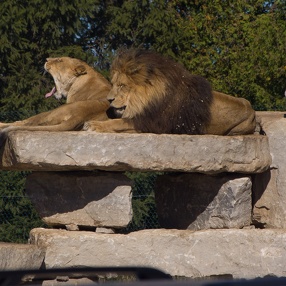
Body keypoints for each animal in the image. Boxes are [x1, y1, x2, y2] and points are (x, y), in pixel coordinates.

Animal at [84, 48, 256, 136]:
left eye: (122, 86)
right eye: (113, 84)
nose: (109, 99)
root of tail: (252, 110)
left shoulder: (153, 123)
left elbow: (119, 123)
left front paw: (93, 125)